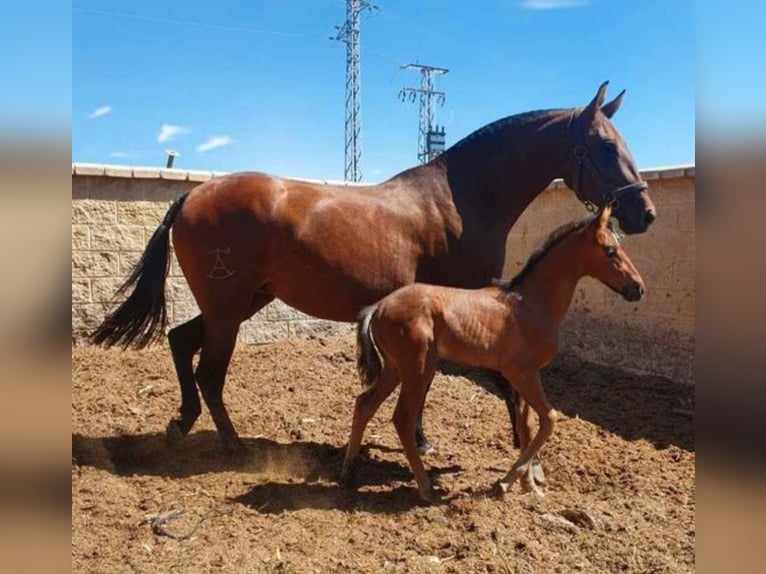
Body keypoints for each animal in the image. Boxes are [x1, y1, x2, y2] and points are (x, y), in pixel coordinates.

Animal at [344, 205, 644, 502]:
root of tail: (379, 306)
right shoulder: (521, 372)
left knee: (365, 403)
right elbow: (549, 419)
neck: (531, 304)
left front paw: (529, 485)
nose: (638, 288)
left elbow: (527, 425)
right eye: (610, 250)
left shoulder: (524, 375)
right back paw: (426, 488)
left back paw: (349, 472)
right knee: (402, 419)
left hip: (395, 368)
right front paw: (505, 483)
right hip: (417, 369)